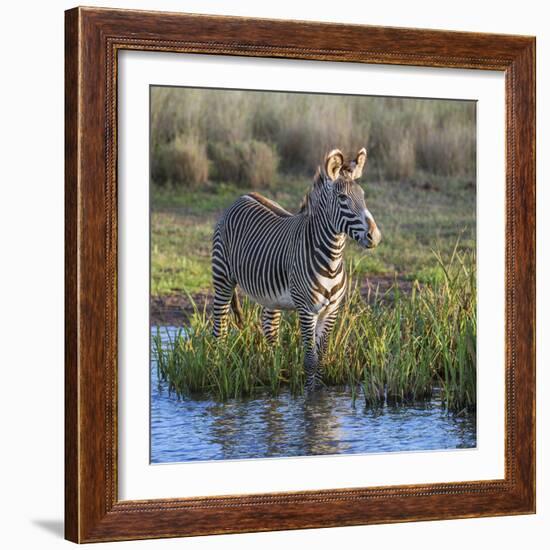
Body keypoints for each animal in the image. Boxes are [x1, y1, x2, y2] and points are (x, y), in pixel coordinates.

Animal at [212, 148, 384, 392]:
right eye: (342, 198)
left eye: (363, 196)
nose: (374, 236)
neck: (332, 260)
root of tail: (244, 195)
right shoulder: (306, 310)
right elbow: (310, 359)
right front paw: (310, 396)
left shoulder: (331, 311)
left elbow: (321, 358)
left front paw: (319, 394)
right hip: (222, 278)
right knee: (220, 328)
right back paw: (218, 368)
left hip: (270, 295)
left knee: (270, 331)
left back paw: (274, 372)